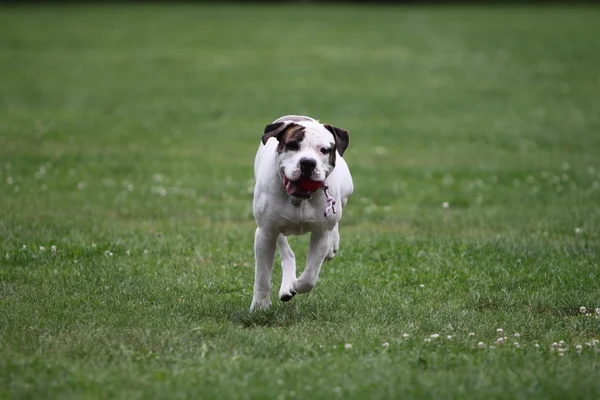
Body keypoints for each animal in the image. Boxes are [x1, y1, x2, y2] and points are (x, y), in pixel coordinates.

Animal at [251, 114, 354, 310]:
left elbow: (310, 276)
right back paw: (286, 285)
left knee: (336, 219)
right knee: (287, 252)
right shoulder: (265, 233)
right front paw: (260, 304)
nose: (307, 162)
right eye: (292, 145)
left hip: (345, 191)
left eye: (324, 150)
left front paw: (297, 285)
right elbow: (262, 275)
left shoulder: (321, 233)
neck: (300, 199)